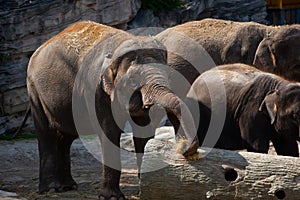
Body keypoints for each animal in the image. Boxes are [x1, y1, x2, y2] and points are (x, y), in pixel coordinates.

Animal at [25, 20, 199, 200]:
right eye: (133, 80)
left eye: (168, 75)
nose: (185, 148)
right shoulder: (95, 90)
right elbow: (109, 131)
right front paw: (112, 197)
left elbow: (143, 134)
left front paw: (143, 188)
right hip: (34, 90)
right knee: (46, 133)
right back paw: (51, 189)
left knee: (65, 137)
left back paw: (67, 186)